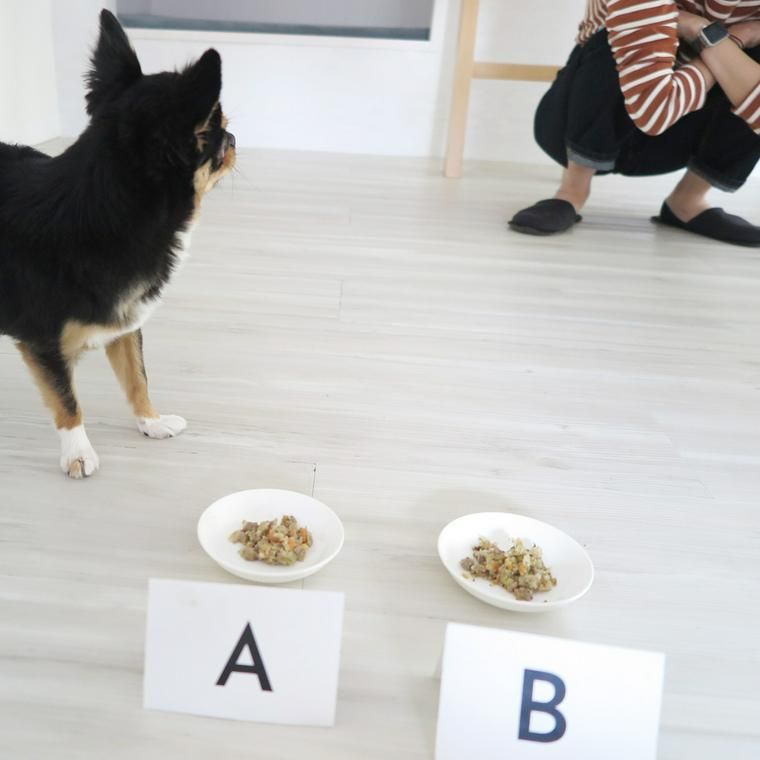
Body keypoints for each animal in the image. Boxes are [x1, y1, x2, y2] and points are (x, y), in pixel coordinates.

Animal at [0, 10, 235, 476]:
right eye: (218, 132)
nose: (234, 140)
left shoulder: (124, 326)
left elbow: (137, 377)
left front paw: (152, 422)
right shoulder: (43, 343)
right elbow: (67, 400)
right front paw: (77, 451)